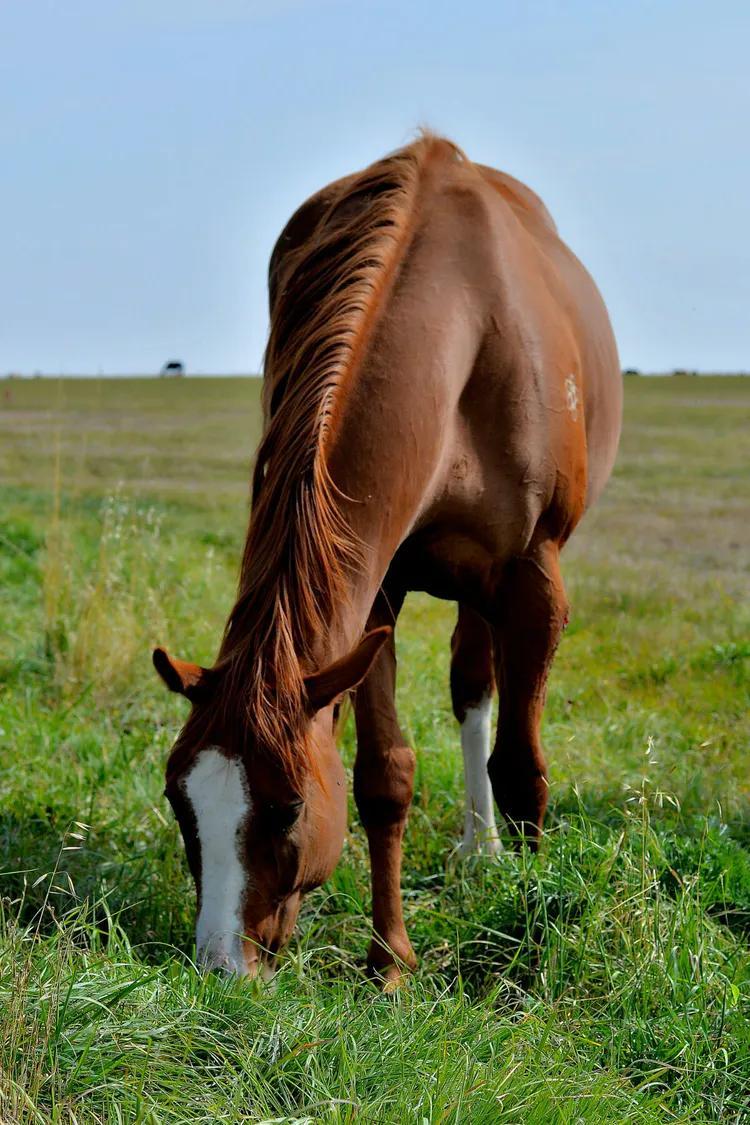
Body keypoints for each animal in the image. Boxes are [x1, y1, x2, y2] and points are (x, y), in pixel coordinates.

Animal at [152, 133, 620, 985]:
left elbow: (521, 765)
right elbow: (383, 776)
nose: (220, 966)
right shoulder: (373, 595)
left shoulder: (533, 579)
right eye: (179, 800)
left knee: (480, 696)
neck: (469, 333)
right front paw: (390, 959)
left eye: (287, 808)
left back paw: (484, 849)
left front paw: (539, 917)